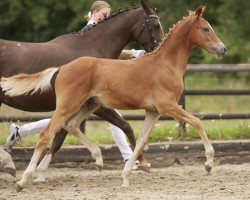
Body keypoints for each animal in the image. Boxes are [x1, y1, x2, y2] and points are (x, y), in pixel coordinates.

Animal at [0, 5, 227, 191]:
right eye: (205, 28)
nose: (223, 49)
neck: (165, 64)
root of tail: (62, 67)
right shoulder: (168, 106)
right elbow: (197, 122)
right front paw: (208, 163)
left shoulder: (153, 111)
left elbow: (141, 140)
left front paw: (127, 176)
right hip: (69, 105)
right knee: (47, 134)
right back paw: (22, 179)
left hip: (90, 105)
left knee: (70, 126)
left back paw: (98, 159)